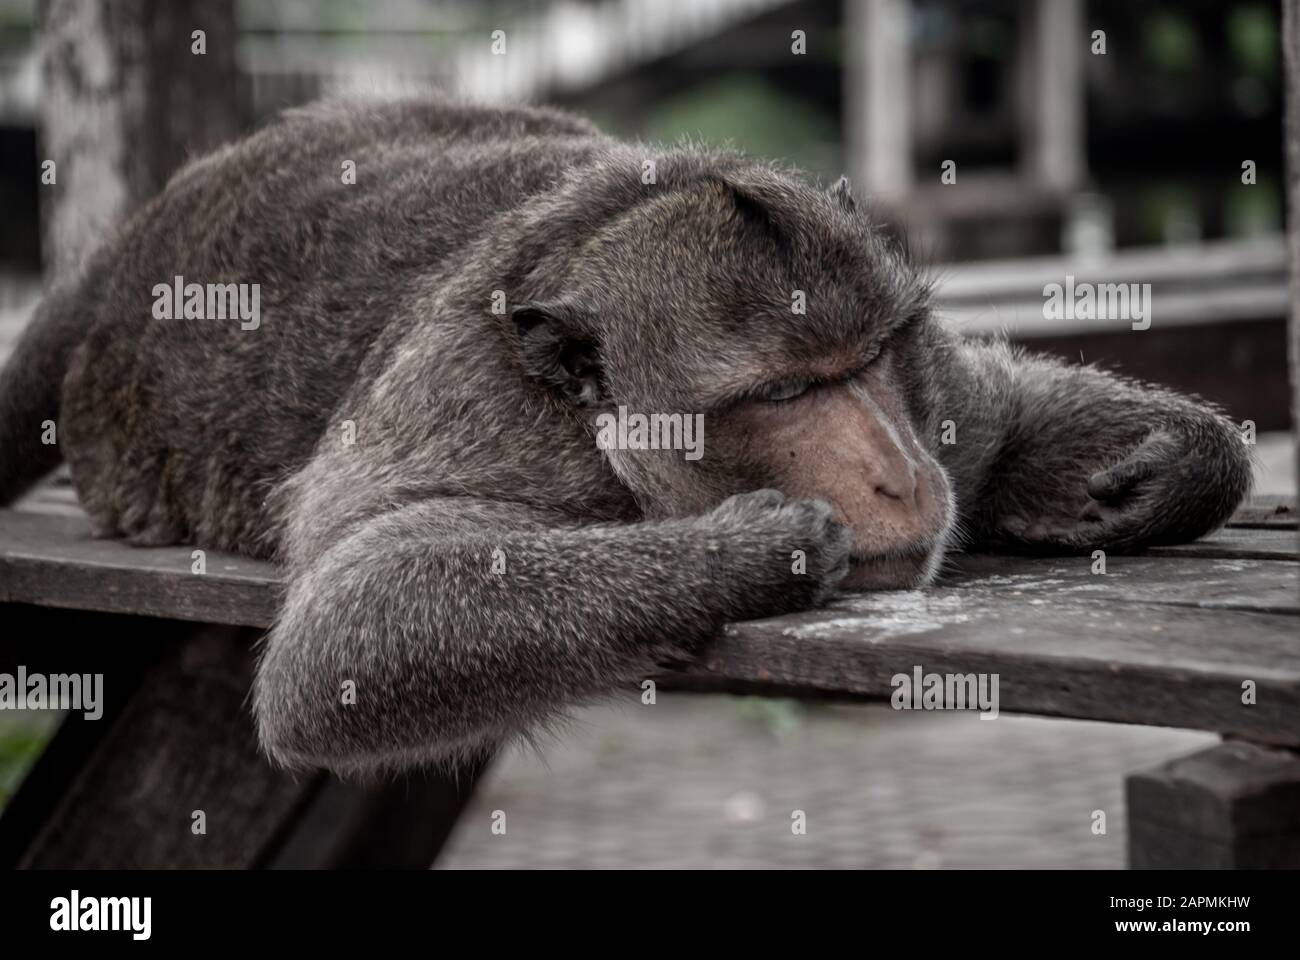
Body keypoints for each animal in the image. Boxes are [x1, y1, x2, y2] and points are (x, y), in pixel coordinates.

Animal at [0, 97, 1251, 775]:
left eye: (865, 362)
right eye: (781, 395)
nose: (903, 477)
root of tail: (138, 232)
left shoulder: (932, 382)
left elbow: (991, 403)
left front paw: (1166, 472)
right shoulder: (479, 424)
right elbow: (341, 643)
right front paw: (754, 548)